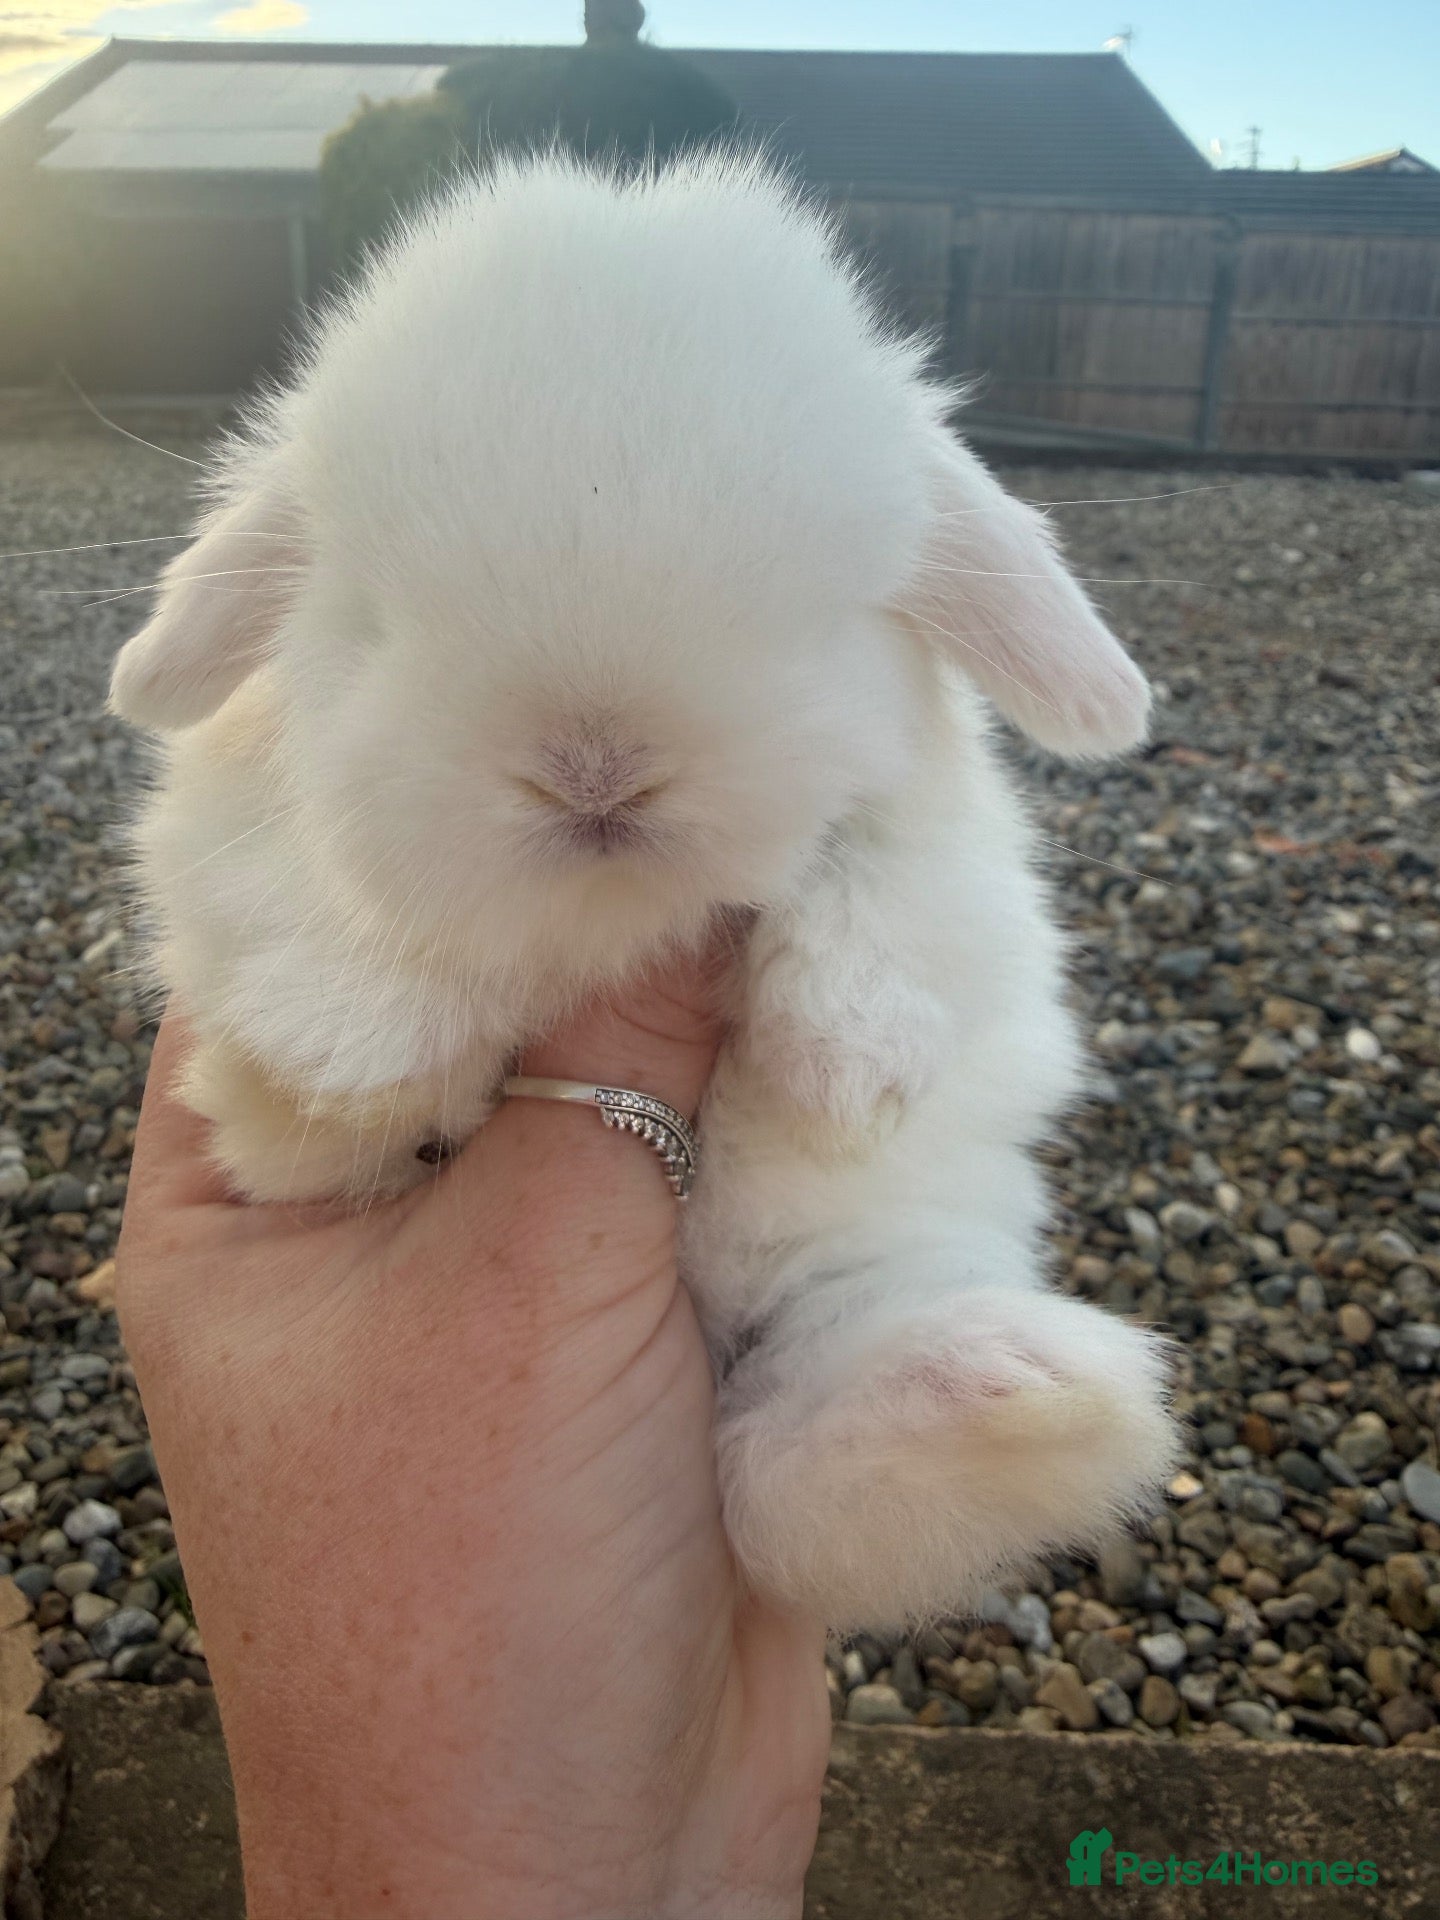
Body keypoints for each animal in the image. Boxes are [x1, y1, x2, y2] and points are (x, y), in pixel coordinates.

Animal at [110, 148, 1178, 1630]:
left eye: (820, 615)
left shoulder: (956, 856)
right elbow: (306, 899)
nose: (595, 766)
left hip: (877, 1253)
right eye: (367, 620)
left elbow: (888, 896)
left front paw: (845, 1069)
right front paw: (352, 1048)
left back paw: (1012, 1393)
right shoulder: (218, 847)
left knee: (790, 1485)